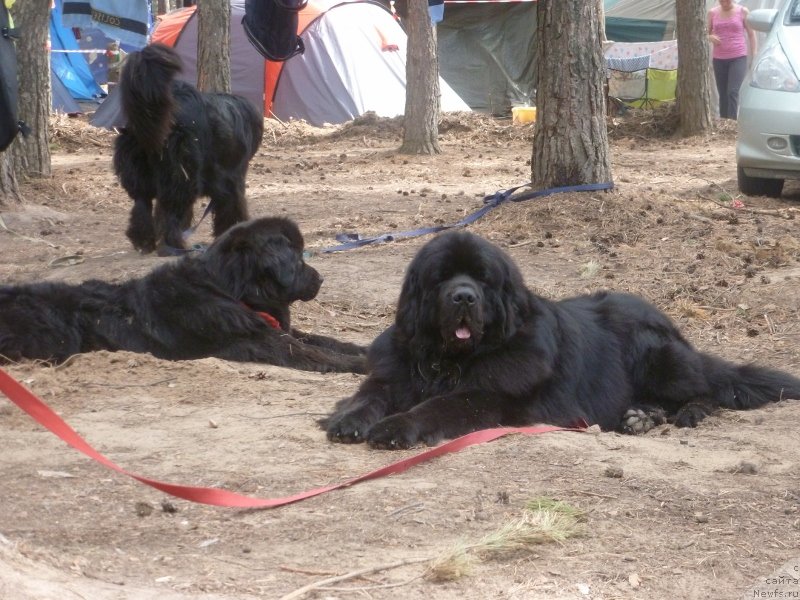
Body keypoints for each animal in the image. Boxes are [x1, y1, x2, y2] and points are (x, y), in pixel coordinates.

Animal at [0, 218, 366, 372]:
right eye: (299, 257)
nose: (321, 278)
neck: (227, 291)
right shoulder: (256, 339)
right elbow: (313, 353)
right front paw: (360, 364)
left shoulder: (271, 327)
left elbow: (325, 340)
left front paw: (364, 349)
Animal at [114, 44, 264, 255]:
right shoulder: (233, 180)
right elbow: (233, 208)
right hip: (181, 175)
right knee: (171, 214)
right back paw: (173, 245)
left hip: (140, 172)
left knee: (142, 206)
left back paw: (145, 241)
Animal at [324, 232, 800, 448]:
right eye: (441, 278)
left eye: (482, 279)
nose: (463, 296)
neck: (450, 360)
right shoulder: (394, 374)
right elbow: (370, 394)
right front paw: (348, 419)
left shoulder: (486, 396)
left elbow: (436, 406)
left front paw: (395, 428)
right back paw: (639, 416)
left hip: (656, 356)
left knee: (705, 389)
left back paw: (680, 412)